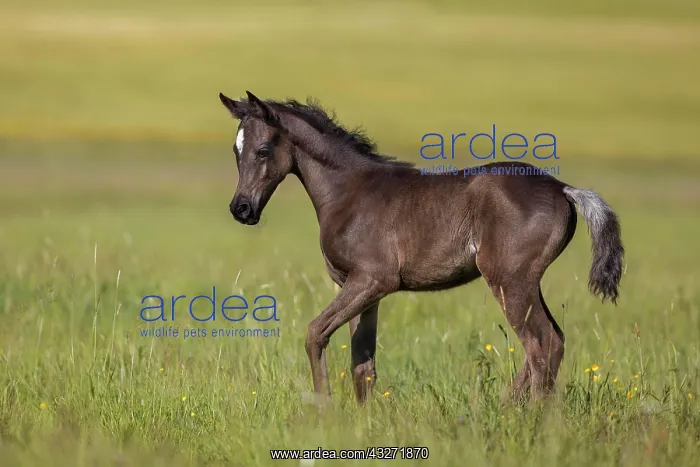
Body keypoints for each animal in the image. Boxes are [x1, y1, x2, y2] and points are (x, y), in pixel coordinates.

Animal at [218, 90, 624, 404]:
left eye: (263, 150)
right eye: (235, 151)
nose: (241, 209)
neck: (348, 192)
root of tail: (564, 189)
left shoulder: (373, 280)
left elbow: (315, 333)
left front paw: (324, 411)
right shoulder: (360, 287)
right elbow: (363, 363)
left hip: (510, 280)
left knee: (541, 346)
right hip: (525, 282)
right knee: (552, 342)